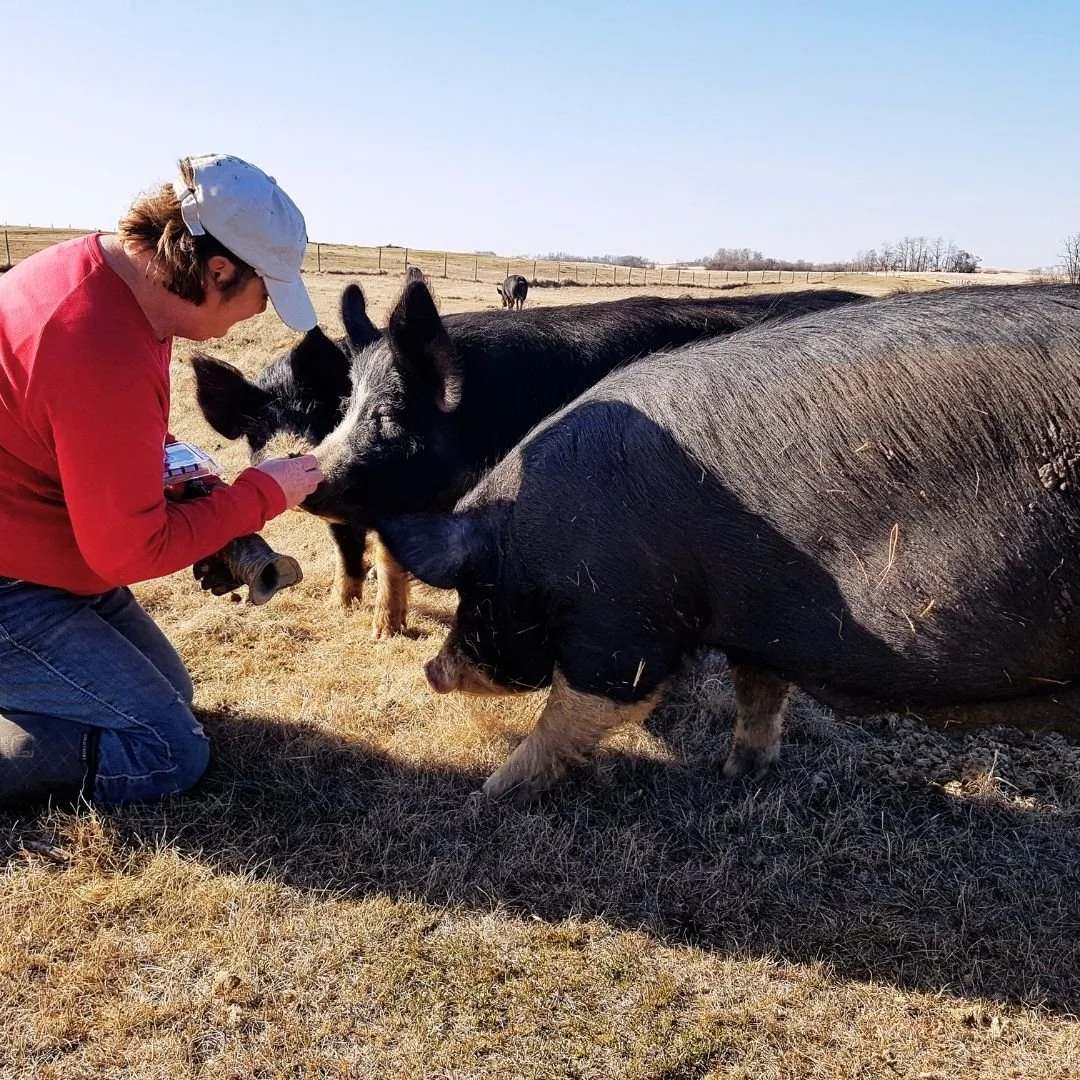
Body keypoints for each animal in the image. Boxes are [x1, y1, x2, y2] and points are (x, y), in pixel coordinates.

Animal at [374, 284, 1080, 801]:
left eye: (474, 591)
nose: (431, 670)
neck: (528, 534)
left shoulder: (620, 623)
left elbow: (576, 711)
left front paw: (486, 795)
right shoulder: (754, 626)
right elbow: (758, 694)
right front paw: (739, 774)